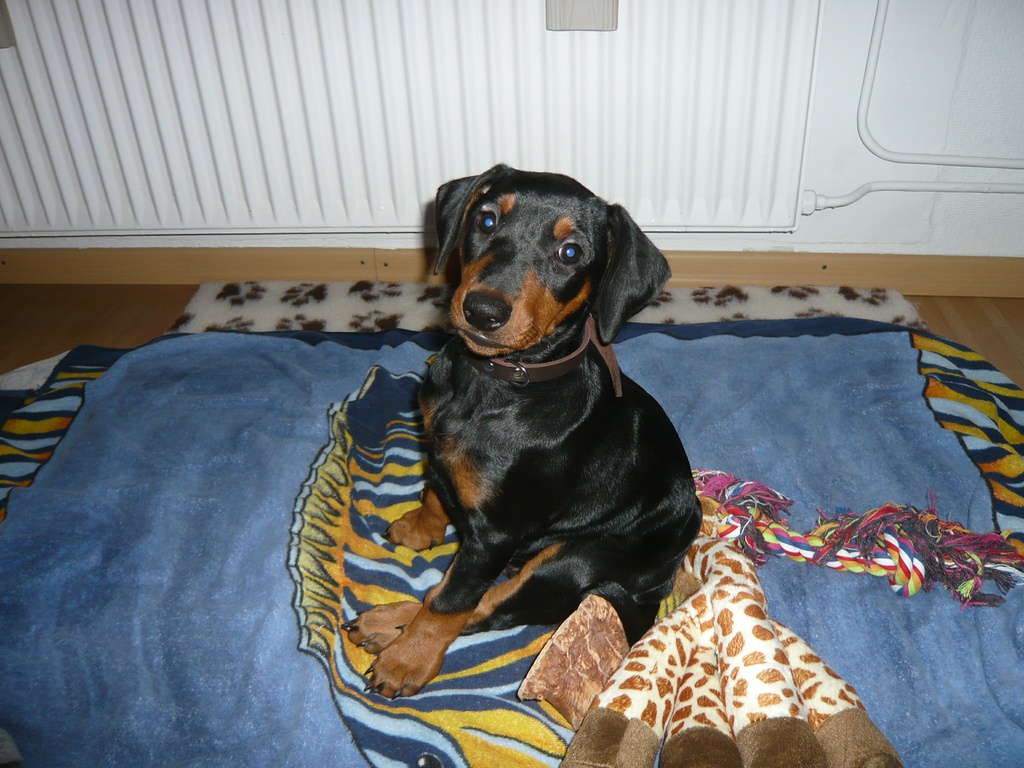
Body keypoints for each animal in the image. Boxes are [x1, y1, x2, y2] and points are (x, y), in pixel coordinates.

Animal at [344, 164, 701, 699]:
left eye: (570, 252)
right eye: (487, 219)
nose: (482, 311)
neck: (497, 383)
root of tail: (659, 585)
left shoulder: (497, 534)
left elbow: (452, 602)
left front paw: (408, 660)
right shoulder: (437, 442)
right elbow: (435, 485)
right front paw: (422, 526)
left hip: (573, 558)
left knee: (485, 606)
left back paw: (393, 630)